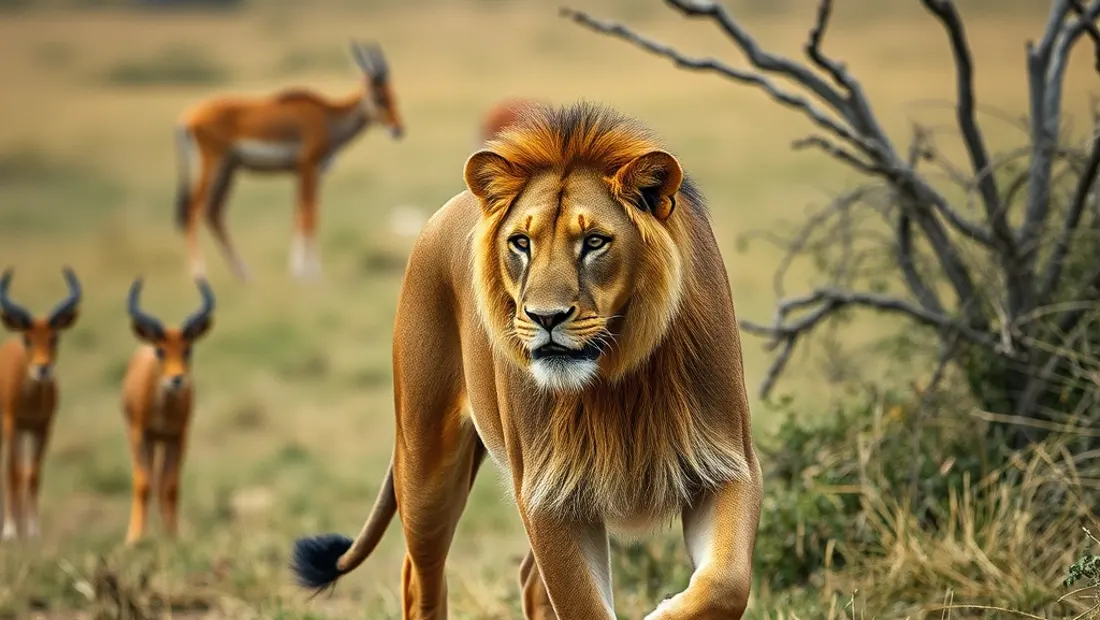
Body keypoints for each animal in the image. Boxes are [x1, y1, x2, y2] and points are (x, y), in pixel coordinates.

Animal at [290, 101, 763, 620]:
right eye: (521, 242)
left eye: (594, 241)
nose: (546, 317)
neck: (616, 378)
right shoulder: (548, 498)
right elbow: (583, 606)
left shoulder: (726, 466)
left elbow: (727, 582)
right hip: (425, 457)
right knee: (420, 577)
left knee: (530, 582)